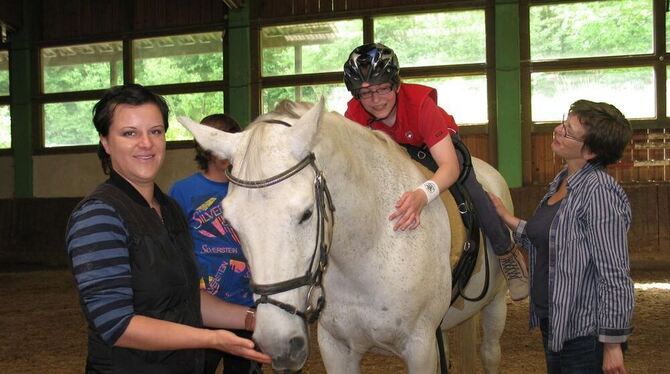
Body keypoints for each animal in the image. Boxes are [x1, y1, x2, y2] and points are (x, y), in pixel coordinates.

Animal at [181, 99, 512, 374]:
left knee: (490, 353)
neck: (367, 253)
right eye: (231, 221)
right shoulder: (336, 347)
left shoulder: (420, 347)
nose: (278, 344)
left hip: (495, 304)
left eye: (306, 213)